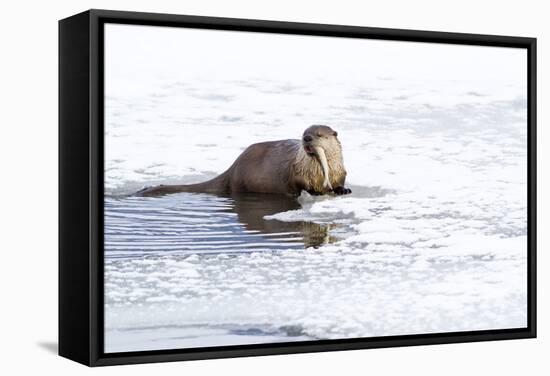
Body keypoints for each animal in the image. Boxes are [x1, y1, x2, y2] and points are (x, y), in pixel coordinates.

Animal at [138, 125, 354, 198]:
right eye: (304, 133)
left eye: (319, 135)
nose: (307, 139)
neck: (318, 173)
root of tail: (232, 168)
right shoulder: (297, 171)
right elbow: (300, 185)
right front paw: (314, 192)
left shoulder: (340, 170)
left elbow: (340, 181)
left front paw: (343, 190)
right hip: (242, 182)